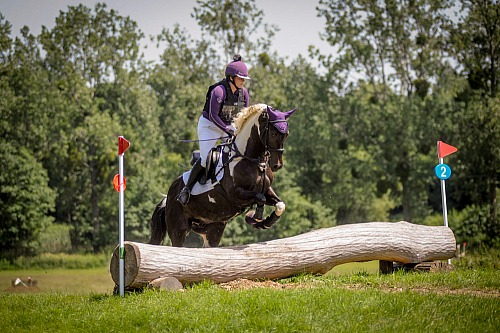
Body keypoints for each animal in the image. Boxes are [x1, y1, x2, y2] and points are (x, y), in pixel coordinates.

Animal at [148, 104, 296, 246]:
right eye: (273, 133)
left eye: (286, 134)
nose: (277, 165)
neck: (252, 160)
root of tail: (168, 197)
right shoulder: (235, 194)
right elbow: (260, 198)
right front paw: (257, 217)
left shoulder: (266, 189)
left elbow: (280, 204)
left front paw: (266, 222)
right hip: (178, 229)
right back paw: (184, 195)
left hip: (213, 228)